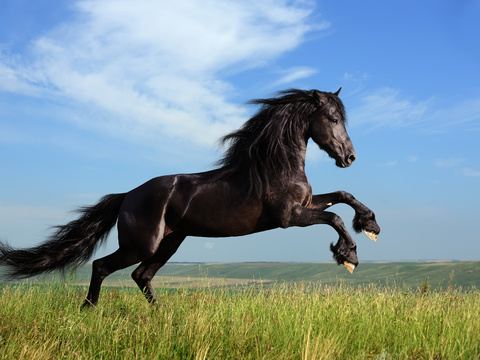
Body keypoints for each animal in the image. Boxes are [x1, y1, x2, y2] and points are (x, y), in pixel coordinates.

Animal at [1, 87, 380, 306]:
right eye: (332, 118)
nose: (349, 157)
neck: (275, 165)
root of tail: (127, 196)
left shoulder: (304, 205)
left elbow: (342, 195)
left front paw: (370, 225)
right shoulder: (290, 217)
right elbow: (333, 216)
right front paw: (348, 256)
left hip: (170, 242)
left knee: (141, 276)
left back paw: (161, 315)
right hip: (142, 244)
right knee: (103, 266)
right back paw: (89, 309)